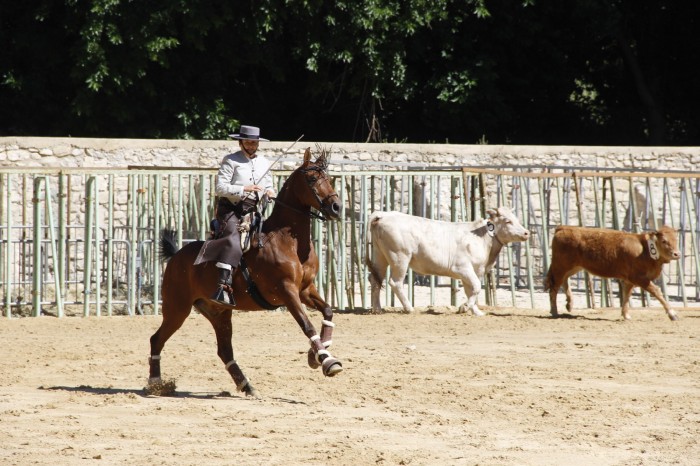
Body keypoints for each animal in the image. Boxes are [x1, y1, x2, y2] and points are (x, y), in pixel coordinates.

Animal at [149, 147, 344, 396]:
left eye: (327, 177)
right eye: (311, 178)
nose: (336, 207)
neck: (285, 240)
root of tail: (176, 256)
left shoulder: (306, 289)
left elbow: (328, 311)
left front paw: (316, 354)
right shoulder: (287, 291)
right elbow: (306, 324)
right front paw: (327, 361)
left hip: (219, 313)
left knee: (224, 351)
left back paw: (246, 385)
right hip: (177, 309)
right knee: (156, 339)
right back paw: (155, 383)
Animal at [366, 208, 532, 314]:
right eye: (508, 221)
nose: (526, 233)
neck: (481, 238)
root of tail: (383, 215)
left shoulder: (476, 270)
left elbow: (471, 289)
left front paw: (475, 311)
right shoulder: (462, 268)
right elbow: (476, 287)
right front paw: (465, 307)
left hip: (379, 255)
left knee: (375, 280)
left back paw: (377, 309)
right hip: (400, 257)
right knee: (395, 282)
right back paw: (409, 308)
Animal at [544, 225, 680, 320]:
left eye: (676, 239)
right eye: (664, 241)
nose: (676, 254)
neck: (644, 250)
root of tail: (563, 227)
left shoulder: (629, 280)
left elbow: (626, 295)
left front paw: (626, 315)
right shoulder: (639, 278)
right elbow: (657, 291)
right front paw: (672, 314)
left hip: (573, 267)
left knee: (564, 281)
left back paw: (569, 304)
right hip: (560, 267)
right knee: (554, 288)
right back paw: (554, 311)